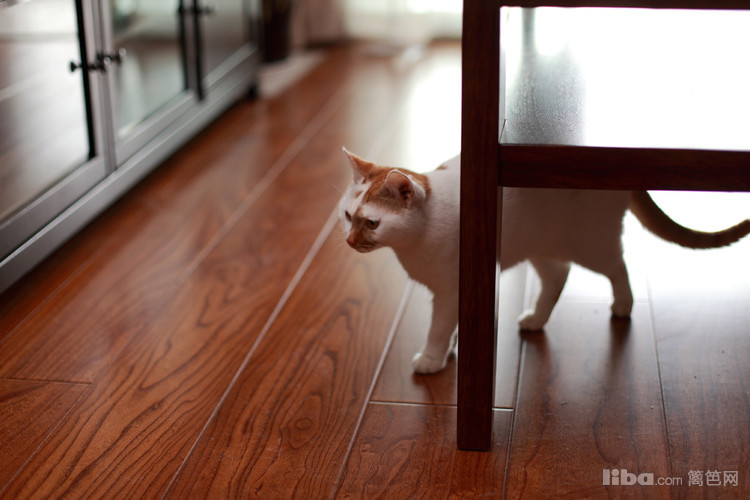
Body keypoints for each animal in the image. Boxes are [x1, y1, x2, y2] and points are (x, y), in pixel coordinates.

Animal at [338, 148, 750, 374]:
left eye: (371, 223)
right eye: (347, 216)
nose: (348, 242)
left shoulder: (452, 290)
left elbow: (438, 328)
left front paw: (432, 358)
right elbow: (452, 327)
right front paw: (452, 348)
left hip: (592, 244)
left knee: (619, 268)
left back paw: (623, 306)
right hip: (541, 247)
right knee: (557, 278)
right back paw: (536, 320)